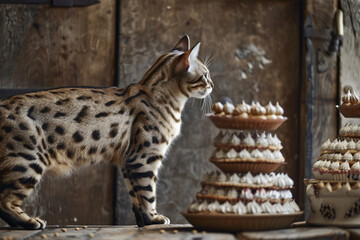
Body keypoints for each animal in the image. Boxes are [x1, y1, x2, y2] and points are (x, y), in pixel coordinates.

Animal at [0, 35, 214, 229]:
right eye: (205, 75)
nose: (212, 85)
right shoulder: (144, 158)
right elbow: (148, 193)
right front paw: (154, 219)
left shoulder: (128, 161)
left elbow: (135, 196)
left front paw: (143, 221)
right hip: (26, 161)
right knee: (5, 201)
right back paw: (29, 222)